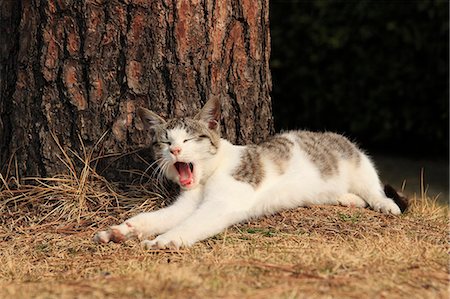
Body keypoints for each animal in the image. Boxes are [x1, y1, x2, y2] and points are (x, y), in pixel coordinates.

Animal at [94, 99, 404, 250]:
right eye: (165, 141)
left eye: (190, 139)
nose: (176, 150)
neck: (209, 175)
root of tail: (331, 135)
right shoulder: (186, 202)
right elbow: (154, 218)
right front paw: (121, 231)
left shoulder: (223, 203)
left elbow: (192, 224)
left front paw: (165, 240)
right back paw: (349, 199)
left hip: (358, 163)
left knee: (374, 188)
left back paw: (384, 204)